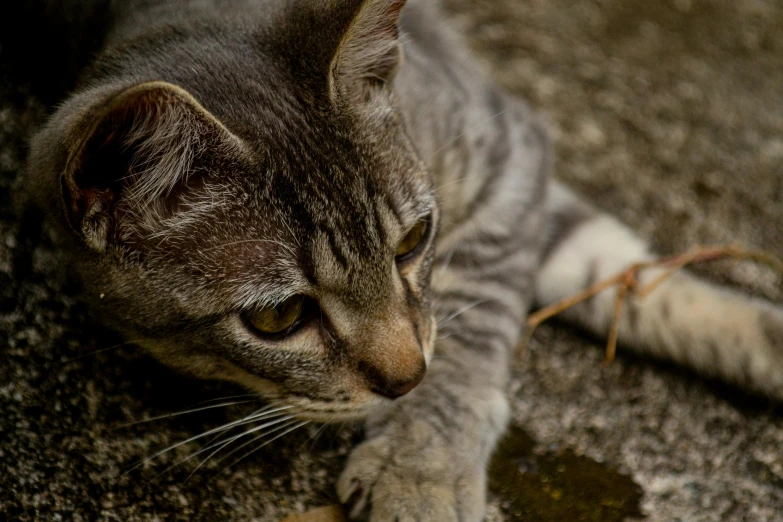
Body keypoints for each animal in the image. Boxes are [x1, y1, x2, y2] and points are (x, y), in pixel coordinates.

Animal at [12, 0, 783, 516]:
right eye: (279, 317)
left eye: (413, 242)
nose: (408, 377)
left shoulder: (508, 147)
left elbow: (494, 315)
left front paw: (423, 464)